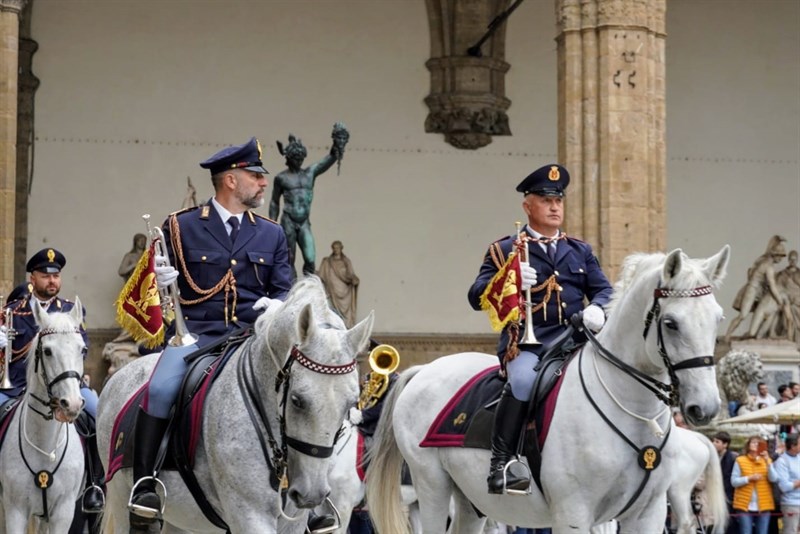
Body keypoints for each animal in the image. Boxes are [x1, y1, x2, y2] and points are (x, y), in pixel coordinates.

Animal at [0, 300, 86, 532]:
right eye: (47, 351)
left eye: (83, 349)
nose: (72, 404)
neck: (45, 445)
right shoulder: (15, 511)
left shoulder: (63, 512)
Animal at [98, 278, 374, 532]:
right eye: (297, 400)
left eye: (351, 403)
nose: (311, 494)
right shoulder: (250, 515)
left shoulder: (293, 521)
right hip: (122, 501)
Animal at [366, 247, 728, 534]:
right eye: (671, 323)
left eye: (718, 318)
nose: (706, 408)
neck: (634, 413)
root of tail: (426, 369)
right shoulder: (573, 513)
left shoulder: (647, 514)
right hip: (431, 485)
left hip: (470, 501)